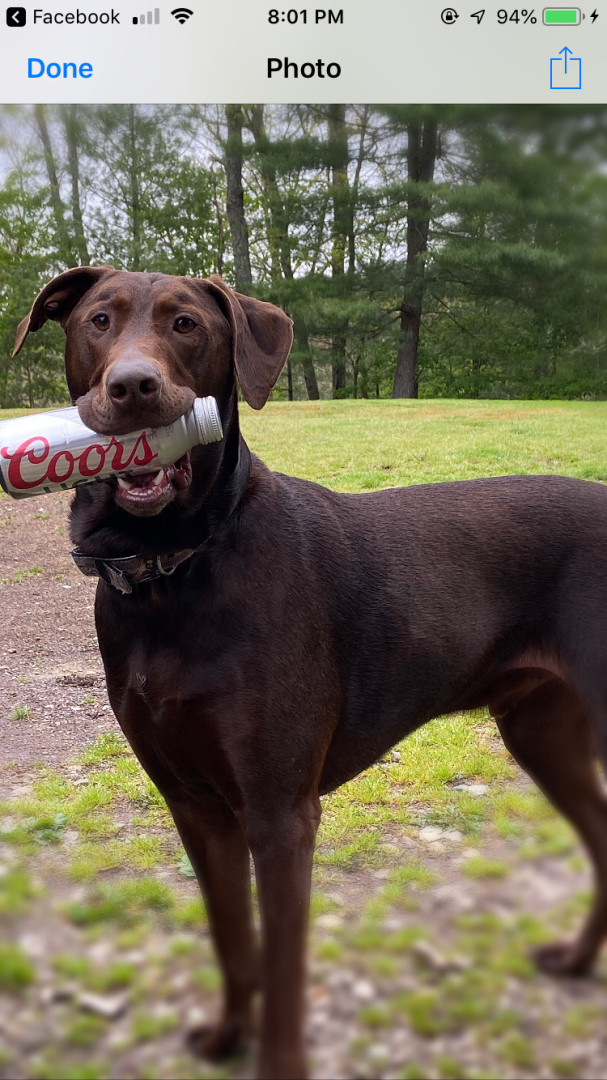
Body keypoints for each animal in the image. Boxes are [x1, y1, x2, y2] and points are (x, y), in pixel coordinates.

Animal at [13, 266, 607, 1079]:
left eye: (187, 324)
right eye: (98, 320)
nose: (134, 387)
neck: (173, 570)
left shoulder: (280, 812)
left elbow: (282, 968)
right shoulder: (194, 804)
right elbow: (233, 943)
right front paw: (226, 1038)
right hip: (541, 731)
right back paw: (577, 962)